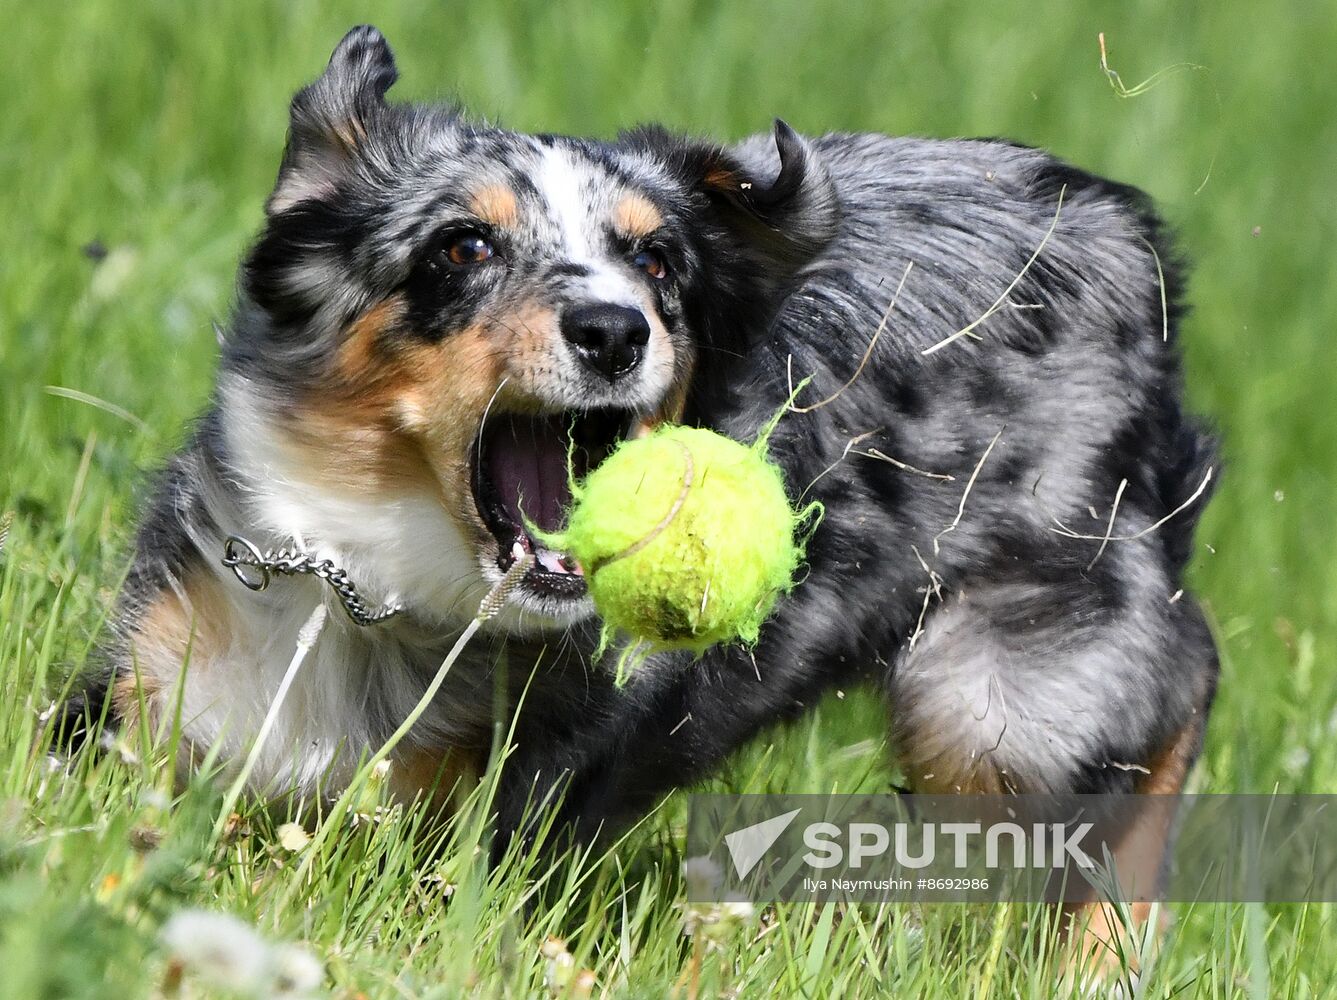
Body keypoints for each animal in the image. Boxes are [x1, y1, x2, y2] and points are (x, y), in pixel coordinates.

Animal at [75, 21, 1224, 962]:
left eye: (658, 261)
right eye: (462, 244)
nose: (614, 328)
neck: (369, 592)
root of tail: (1121, 225)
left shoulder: (484, 808)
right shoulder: (153, 676)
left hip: (998, 701)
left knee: (1174, 688)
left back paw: (1111, 946)